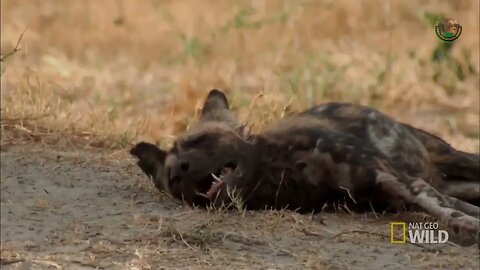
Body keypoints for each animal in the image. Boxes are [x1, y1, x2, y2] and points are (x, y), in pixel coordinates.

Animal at [130, 89, 480, 245]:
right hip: (447, 181)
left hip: (454, 159)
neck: (280, 171)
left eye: (200, 140)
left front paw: (467, 227)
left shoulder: (393, 177)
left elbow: (446, 211)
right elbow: (453, 207)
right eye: (173, 179)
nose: (182, 169)